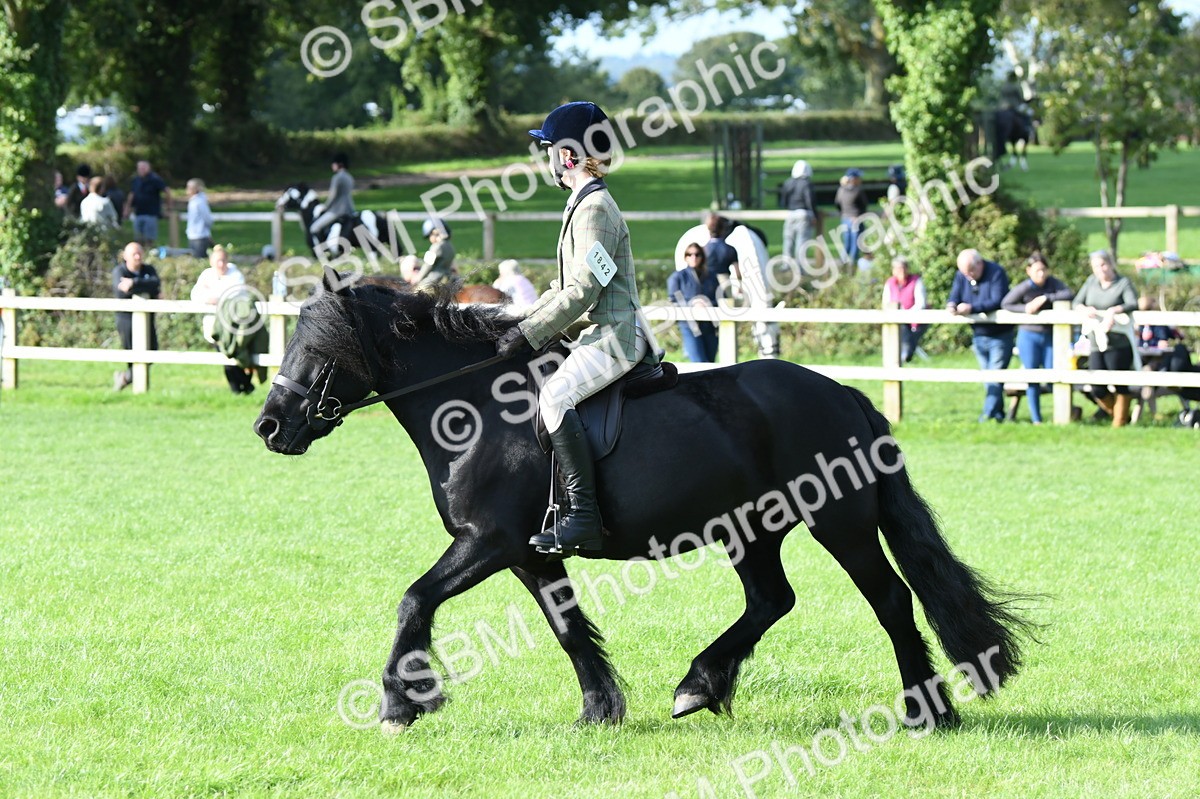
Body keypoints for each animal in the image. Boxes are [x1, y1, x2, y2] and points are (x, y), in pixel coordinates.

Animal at [254, 267, 1031, 732]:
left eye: (319, 348)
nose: (269, 427)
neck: (475, 409)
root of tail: (843, 392)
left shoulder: (487, 542)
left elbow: (414, 600)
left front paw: (398, 702)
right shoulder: (531, 555)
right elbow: (568, 628)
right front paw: (600, 709)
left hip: (838, 524)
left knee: (891, 601)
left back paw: (926, 711)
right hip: (752, 529)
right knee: (770, 600)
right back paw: (700, 685)